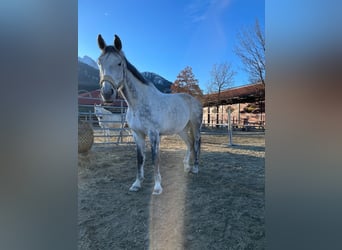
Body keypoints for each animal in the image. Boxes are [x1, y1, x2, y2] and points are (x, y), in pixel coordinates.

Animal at [97, 34, 202, 194]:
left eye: (119, 63)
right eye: (99, 62)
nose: (107, 93)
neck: (138, 103)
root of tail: (195, 100)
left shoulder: (153, 134)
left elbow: (155, 159)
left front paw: (158, 187)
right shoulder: (137, 134)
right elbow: (140, 159)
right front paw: (137, 184)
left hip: (195, 126)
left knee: (196, 143)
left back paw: (195, 168)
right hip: (182, 130)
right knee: (189, 144)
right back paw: (186, 167)